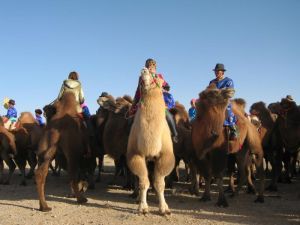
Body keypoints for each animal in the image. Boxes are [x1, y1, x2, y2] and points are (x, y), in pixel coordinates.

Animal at [127, 67, 176, 215]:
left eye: (155, 74)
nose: (143, 70)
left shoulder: (166, 156)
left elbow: (160, 183)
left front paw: (164, 208)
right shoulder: (136, 155)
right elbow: (144, 182)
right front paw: (142, 207)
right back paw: (138, 197)